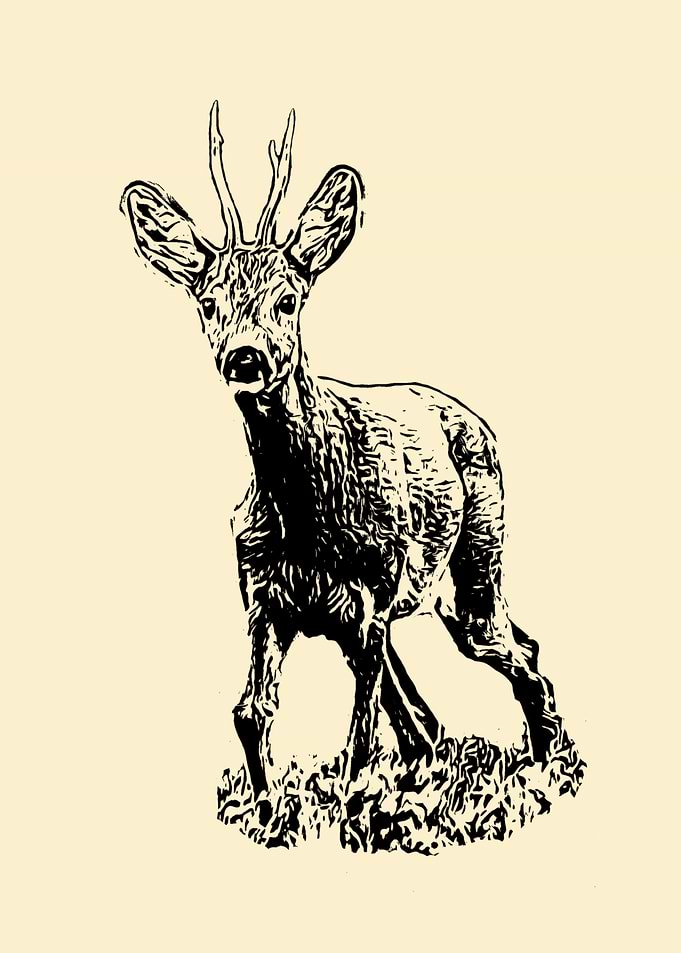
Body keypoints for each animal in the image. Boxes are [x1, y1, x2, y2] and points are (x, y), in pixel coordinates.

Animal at [121, 103, 564, 823]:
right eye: (208, 302)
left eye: (288, 299)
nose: (244, 358)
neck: (305, 518)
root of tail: (475, 420)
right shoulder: (264, 594)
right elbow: (251, 710)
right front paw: (267, 812)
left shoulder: (369, 593)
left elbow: (358, 731)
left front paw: (347, 808)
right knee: (424, 707)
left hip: (471, 562)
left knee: (514, 650)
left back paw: (543, 768)